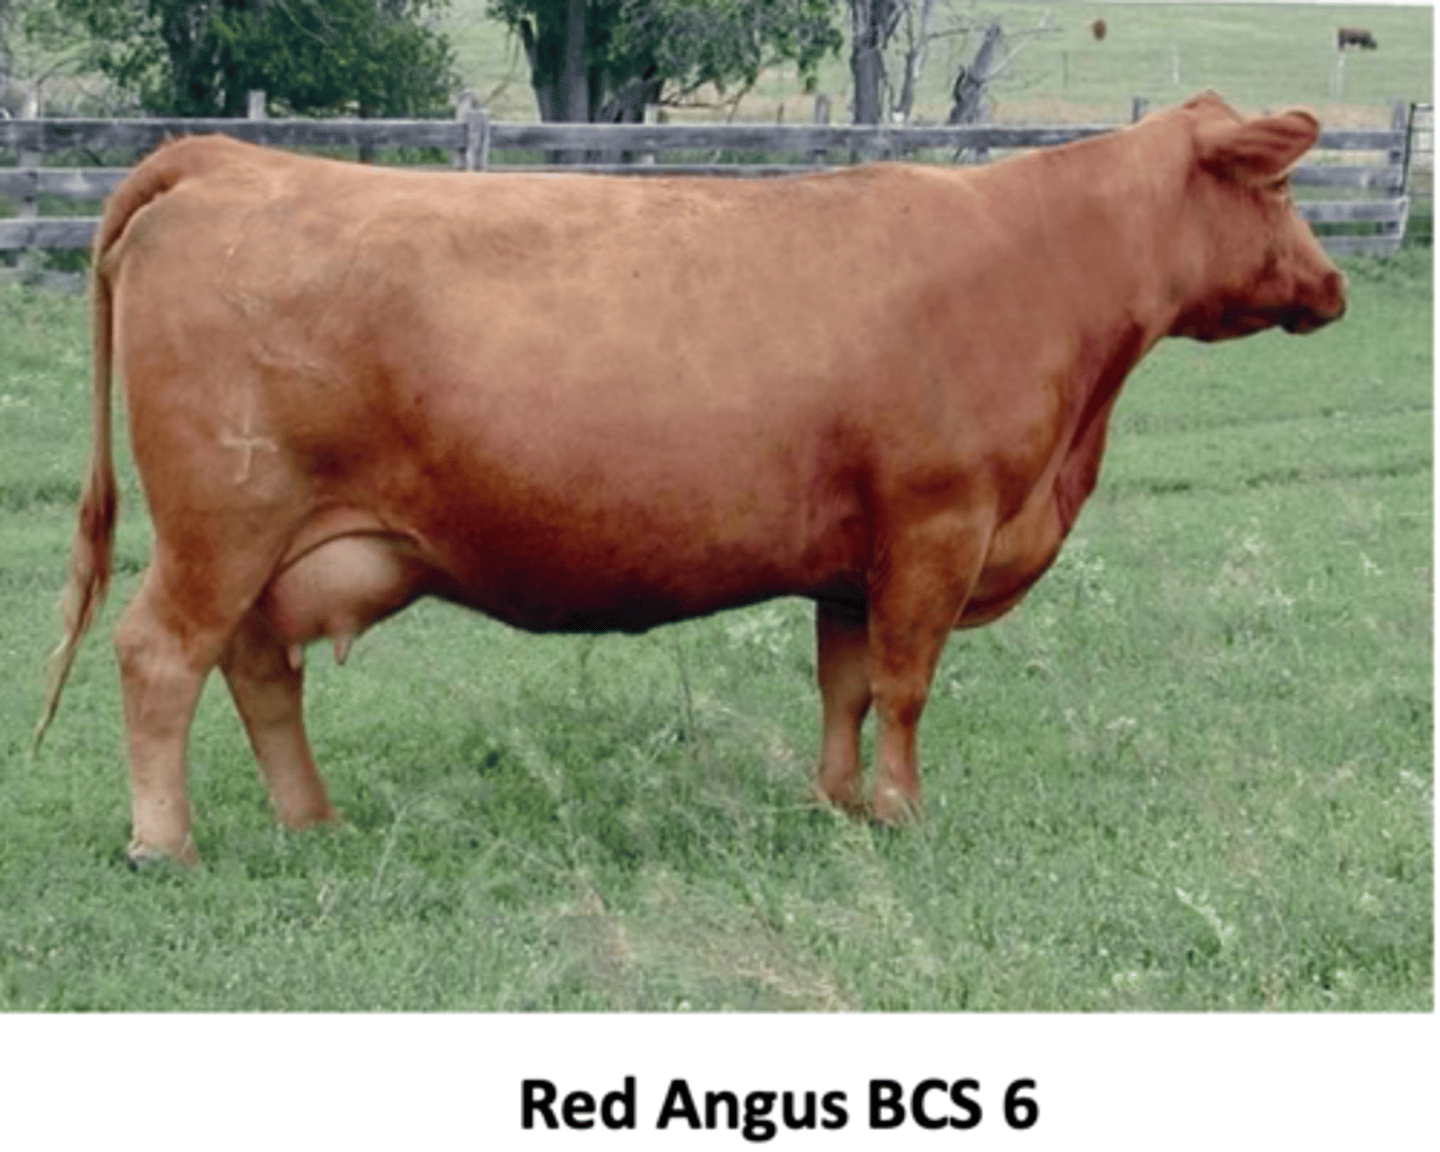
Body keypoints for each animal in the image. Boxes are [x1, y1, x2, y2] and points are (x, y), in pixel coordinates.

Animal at [35, 91, 1345, 866]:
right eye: (1282, 187)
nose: (1331, 285)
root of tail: (226, 156)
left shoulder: (855, 561)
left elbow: (844, 686)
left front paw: (835, 803)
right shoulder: (938, 524)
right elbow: (906, 688)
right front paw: (902, 812)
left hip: (265, 541)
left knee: (260, 670)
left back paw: (314, 821)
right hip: (221, 523)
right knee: (163, 656)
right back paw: (166, 844)